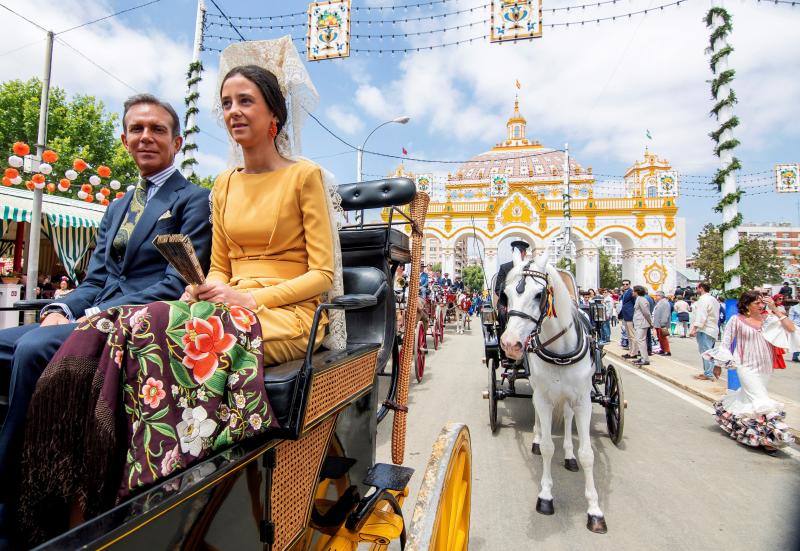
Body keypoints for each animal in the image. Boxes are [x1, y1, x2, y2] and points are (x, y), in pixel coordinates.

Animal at [500, 250, 608, 536]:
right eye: (505, 294)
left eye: (539, 295)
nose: (510, 344)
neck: (560, 350)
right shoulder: (544, 397)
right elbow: (549, 447)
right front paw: (546, 497)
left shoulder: (583, 401)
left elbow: (588, 454)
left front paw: (594, 510)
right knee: (540, 418)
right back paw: (537, 438)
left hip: (570, 398)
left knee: (568, 420)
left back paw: (569, 455)